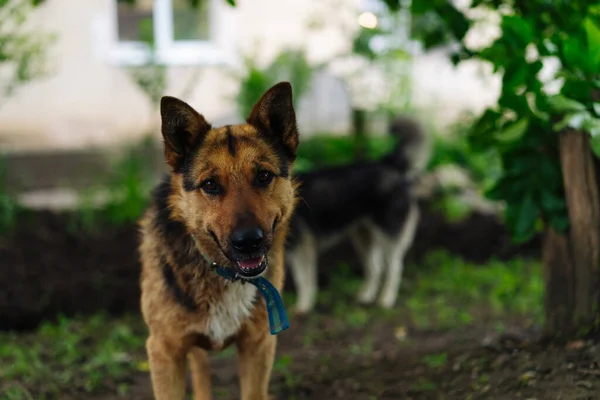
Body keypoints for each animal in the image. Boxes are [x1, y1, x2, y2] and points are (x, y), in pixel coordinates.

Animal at [139, 82, 300, 400]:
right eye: (210, 184)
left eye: (264, 176)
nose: (248, 242)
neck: (223, 272)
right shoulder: (165, 351)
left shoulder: (258, 346)